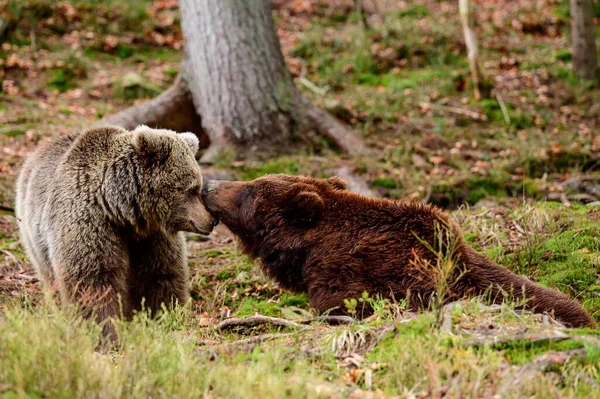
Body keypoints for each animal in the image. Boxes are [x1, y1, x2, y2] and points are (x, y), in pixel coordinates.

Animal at [15, 125, 218, 338]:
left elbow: (161, 275)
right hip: (34, 237)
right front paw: (105, 331)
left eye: (197, 186)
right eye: (191, 189)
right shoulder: (88, 223)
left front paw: (166, 318)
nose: (212, 220)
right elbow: (94, 281)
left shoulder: (151, 237)